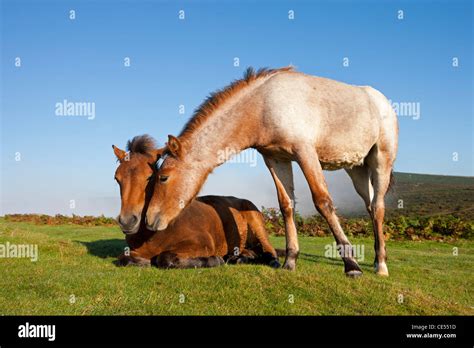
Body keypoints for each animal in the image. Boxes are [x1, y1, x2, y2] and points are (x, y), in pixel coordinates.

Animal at [112, 134, 280, 270]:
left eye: (150, 177)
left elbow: (164, 258)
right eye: (117, 178)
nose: (127, 221)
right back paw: (238, 258)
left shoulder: (201, 243)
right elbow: (123, 259)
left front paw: (214, 260)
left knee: (268, 250)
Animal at [144, 66, 396, 276]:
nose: (149, 219)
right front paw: (290, 260)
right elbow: (286, 205)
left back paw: (381, 266)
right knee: (370, 206)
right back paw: (376, 259)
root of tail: (383, 102)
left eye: (163, 177)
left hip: (381, 160)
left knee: (378, 207)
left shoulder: (305, 153)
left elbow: (323, 202)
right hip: (356, 170)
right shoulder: (276, 159)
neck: (263, 104)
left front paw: (351, 264)